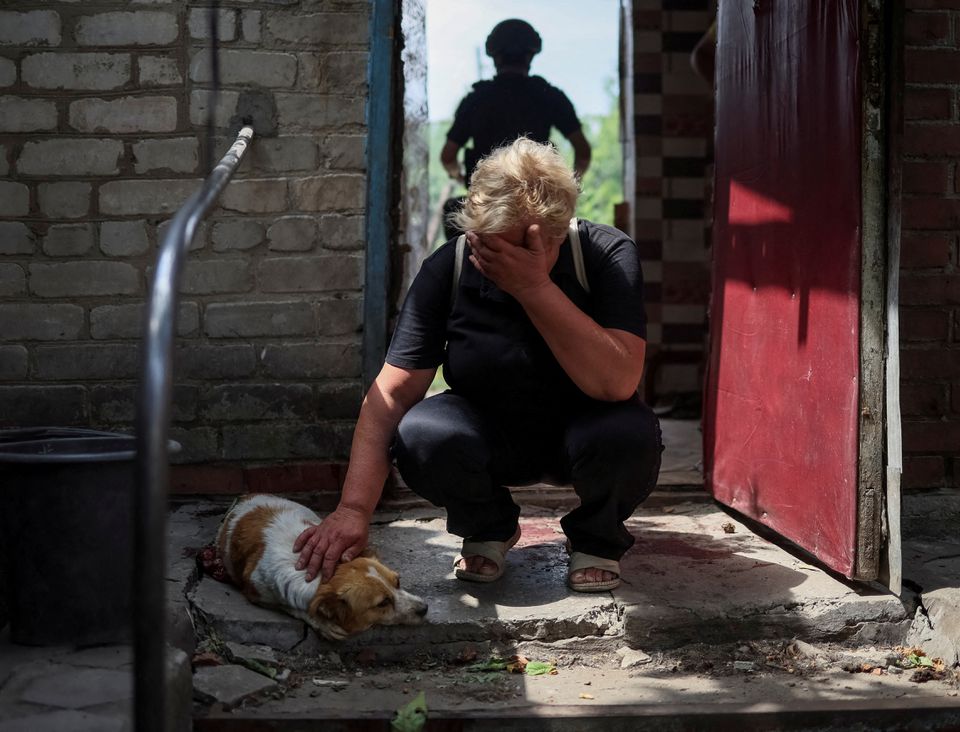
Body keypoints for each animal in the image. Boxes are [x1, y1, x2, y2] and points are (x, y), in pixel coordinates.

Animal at [219, 492, 430, 640]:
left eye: (398, 582)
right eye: (383, 603)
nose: (425, 608)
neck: (322, 572)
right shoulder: (256, 592)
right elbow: (293, 607)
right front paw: (323, 623)